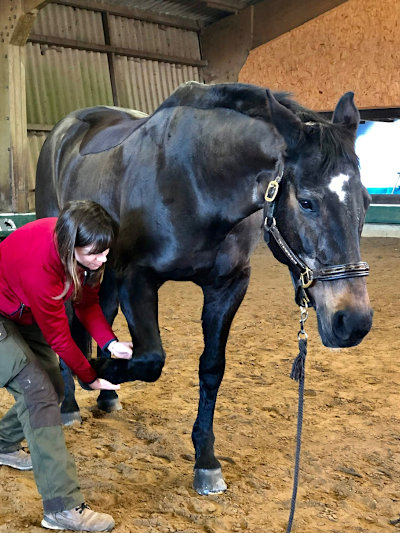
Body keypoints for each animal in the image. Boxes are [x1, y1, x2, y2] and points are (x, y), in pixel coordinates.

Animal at [36, 82, 374, 494]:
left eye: (367, 202)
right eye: (307, 202)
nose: (352, 322)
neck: (196, 180)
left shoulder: (227, 287)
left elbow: (211, 368)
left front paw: (206, 461)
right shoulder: (138, 278)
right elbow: (150, 359)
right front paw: (99, 369)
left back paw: (108, 396)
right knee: (67, 326)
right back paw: (69, 404)